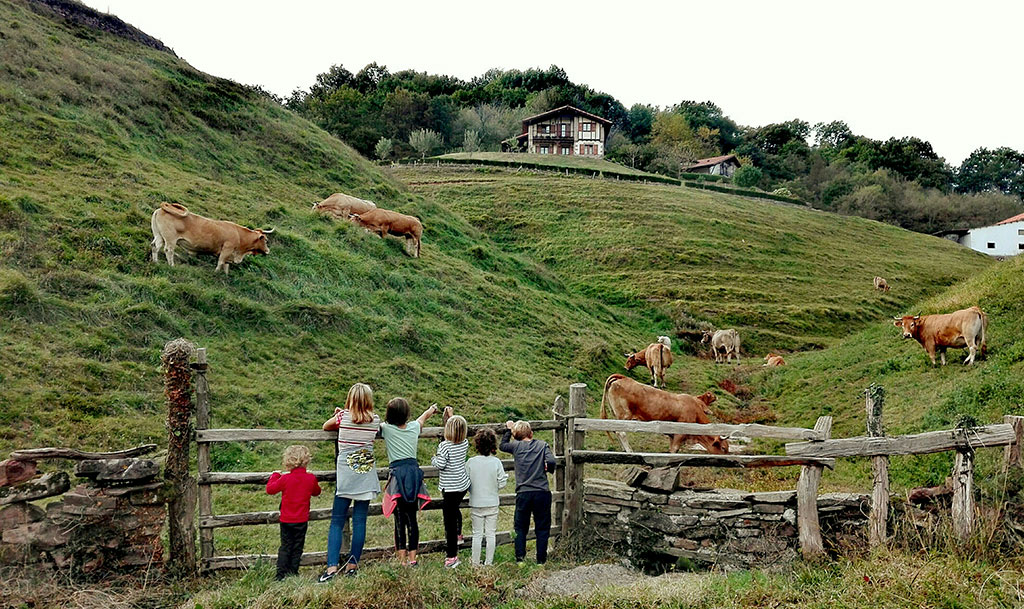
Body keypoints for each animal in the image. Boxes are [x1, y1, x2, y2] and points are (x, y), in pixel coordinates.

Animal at [598, 374, 733, 454]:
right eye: (723, 448)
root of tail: (623, 377)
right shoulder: (679, 434)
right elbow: (674, 450)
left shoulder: (672, 435)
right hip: (624, 415)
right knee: (621, 432)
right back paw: (630, 451)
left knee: (616, 431)